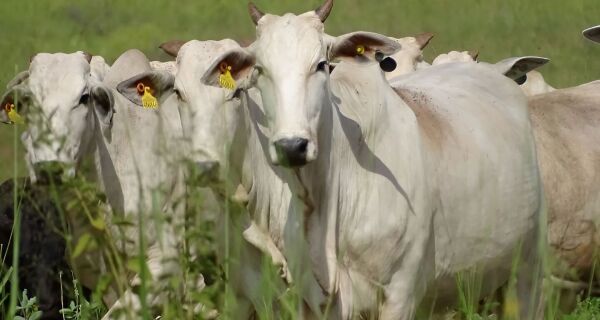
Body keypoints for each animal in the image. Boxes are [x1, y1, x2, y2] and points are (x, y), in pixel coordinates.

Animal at [195, 1, 548, 318]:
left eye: (322, 64)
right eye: (259, 70)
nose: (292, 146)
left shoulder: (400, 294)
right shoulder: (310, 302)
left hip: (527, 272)